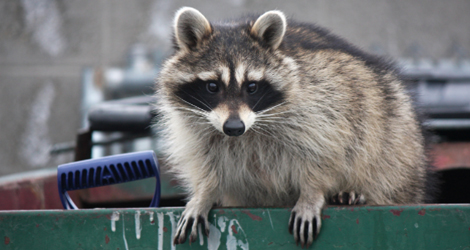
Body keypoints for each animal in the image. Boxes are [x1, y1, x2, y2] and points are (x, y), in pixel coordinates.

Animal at [156, 6, 428, 247]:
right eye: (212, 86)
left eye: (251, 87)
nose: (234, 127)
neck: (249, 130)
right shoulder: (198, 127)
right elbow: (206, 161)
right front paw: (203, 193)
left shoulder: (325, 101)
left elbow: (325, 151)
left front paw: (312, 192)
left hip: (394, 133)